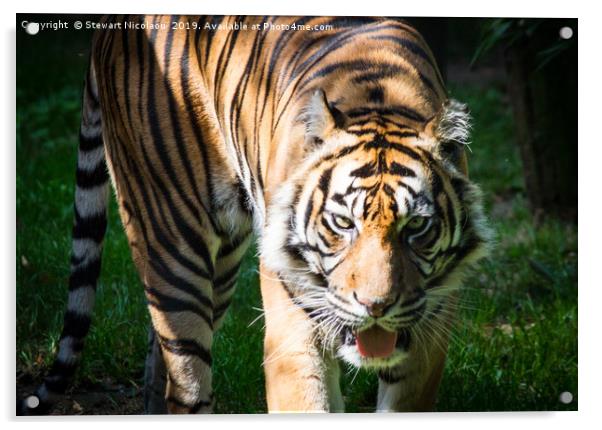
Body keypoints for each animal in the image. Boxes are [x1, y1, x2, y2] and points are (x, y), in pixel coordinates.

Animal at [18, 15, 490, 414]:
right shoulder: (293, 320)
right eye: (343, 223)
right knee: (185, 378)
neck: (381, 103)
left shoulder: (431, 328)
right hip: (173, 240)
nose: (376, 307)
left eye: (417, 227)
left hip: (223, 265)